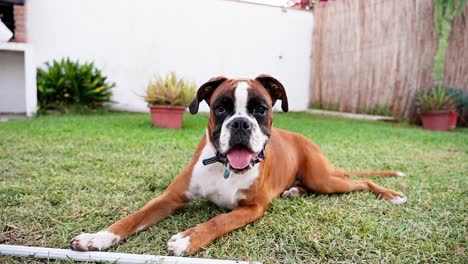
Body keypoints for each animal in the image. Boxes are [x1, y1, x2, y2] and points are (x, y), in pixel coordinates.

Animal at [69, 74, 406, 256]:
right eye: (220, 109)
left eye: (261, 109)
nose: (241, 123)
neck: (224, 167)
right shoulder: (169, 198)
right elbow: (132, 218)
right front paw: (97, 237)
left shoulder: (252, 208)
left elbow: (219, 221)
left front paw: (188, 238)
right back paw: (294, 191)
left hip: (325, 179)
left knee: (361, 182)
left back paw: (392, 195)